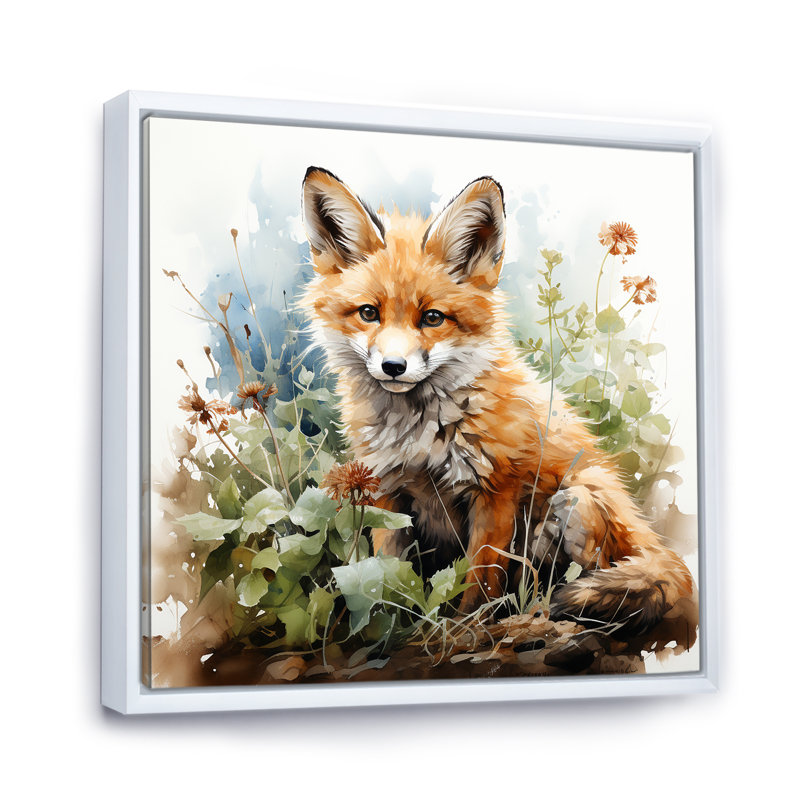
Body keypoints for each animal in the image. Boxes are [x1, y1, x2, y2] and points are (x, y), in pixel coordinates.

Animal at [300, 166, 694, 635]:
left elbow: (480, 579)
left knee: (589, 575)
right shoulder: (386, 492)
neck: (422, 435)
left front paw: (465, 631)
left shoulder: (494, 491)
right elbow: (387, 571)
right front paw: (386, 627)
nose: (393, 366)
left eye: (432, 318)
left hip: (576, 501)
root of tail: (648, 533)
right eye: (368, 313)